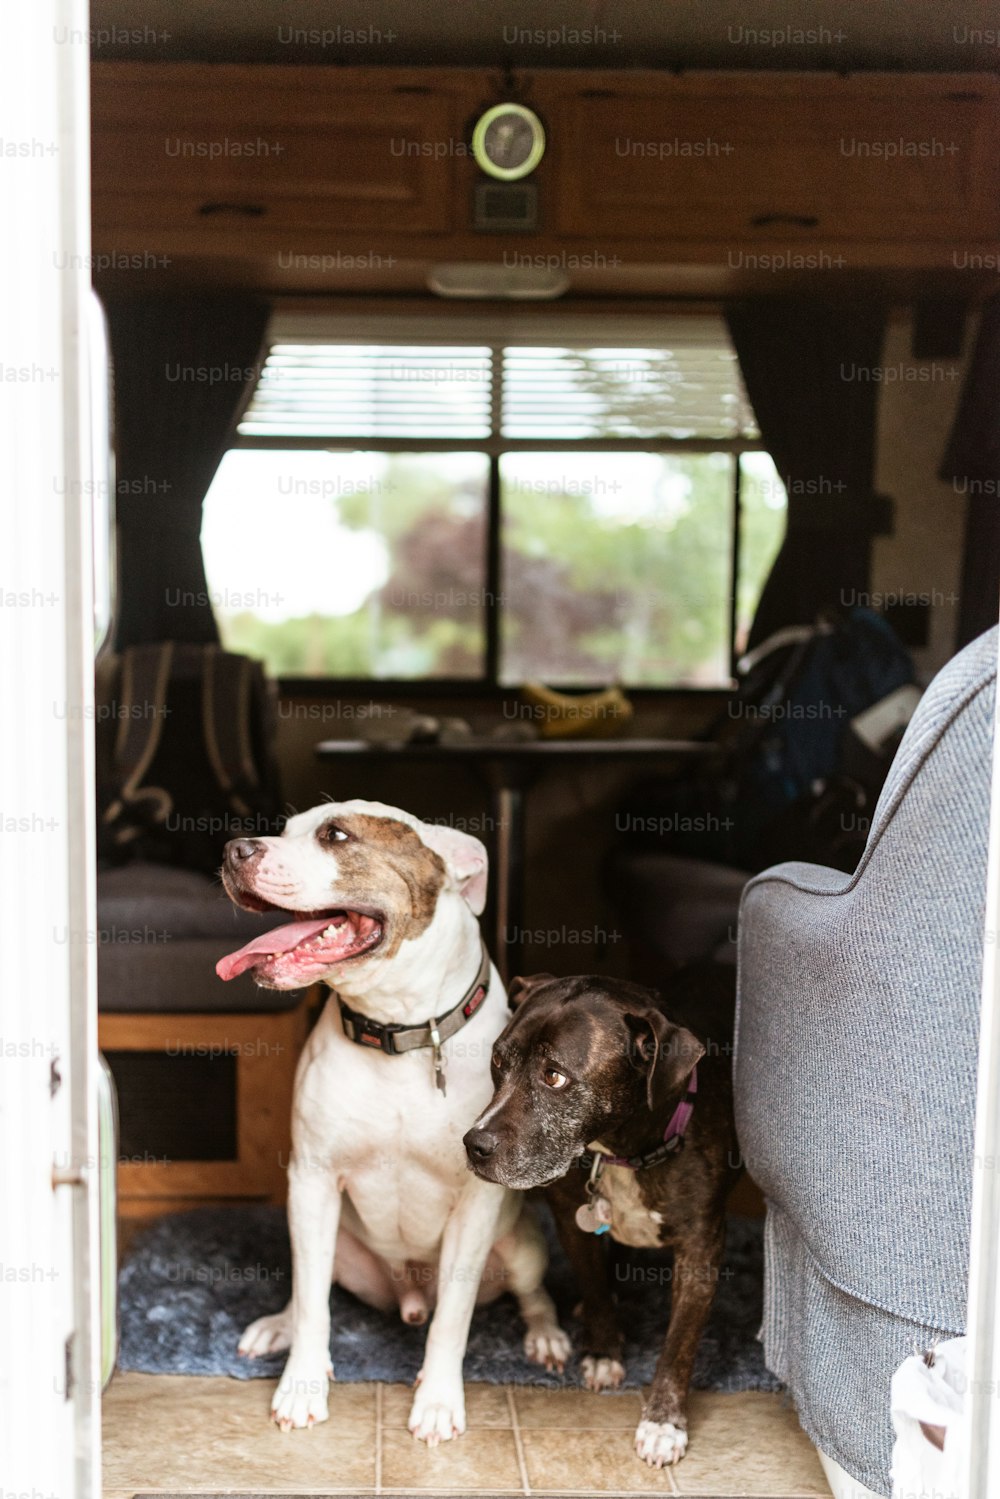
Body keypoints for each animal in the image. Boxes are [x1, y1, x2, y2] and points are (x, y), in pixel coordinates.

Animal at [215, 797, 566, 1439]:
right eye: (284, 830)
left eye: (335, 835)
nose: (234, 849)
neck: (399, 1032)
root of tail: (407, 1295)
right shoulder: (312, 1180)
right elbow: (313, 1307)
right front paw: (302, 1385)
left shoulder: (477, 1201)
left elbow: (453, 1319)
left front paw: (439, 1401)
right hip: (324, 1230)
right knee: (308, 1287)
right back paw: (277, 1325)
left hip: (521, 1245)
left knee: (529, 1293)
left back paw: (548, 1335)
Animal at [464, 965, 740, 1469]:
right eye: (497, 1061)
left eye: (554, 1076)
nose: (474, 1144)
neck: (623, 1153)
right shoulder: (570, 1216)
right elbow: (592, 1282)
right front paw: (603, 1350)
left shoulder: (702, 1246)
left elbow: (681, 1341)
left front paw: (663, 1423)